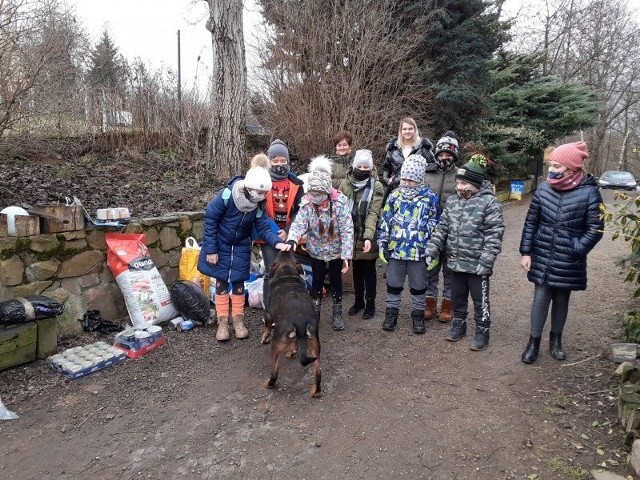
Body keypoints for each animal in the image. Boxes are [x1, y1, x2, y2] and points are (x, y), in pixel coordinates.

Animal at [260, 249, 320, 396]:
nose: (284, 248)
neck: (287, 271)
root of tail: (301, 320)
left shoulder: (268, 314)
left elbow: (267, 327)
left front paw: (264, 338)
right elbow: (294, 344)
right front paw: (293, 351)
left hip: (276, 344)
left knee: (274, 373)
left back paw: (269, 384)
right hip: (315, 345)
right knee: (318, 374)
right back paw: (315, 391)